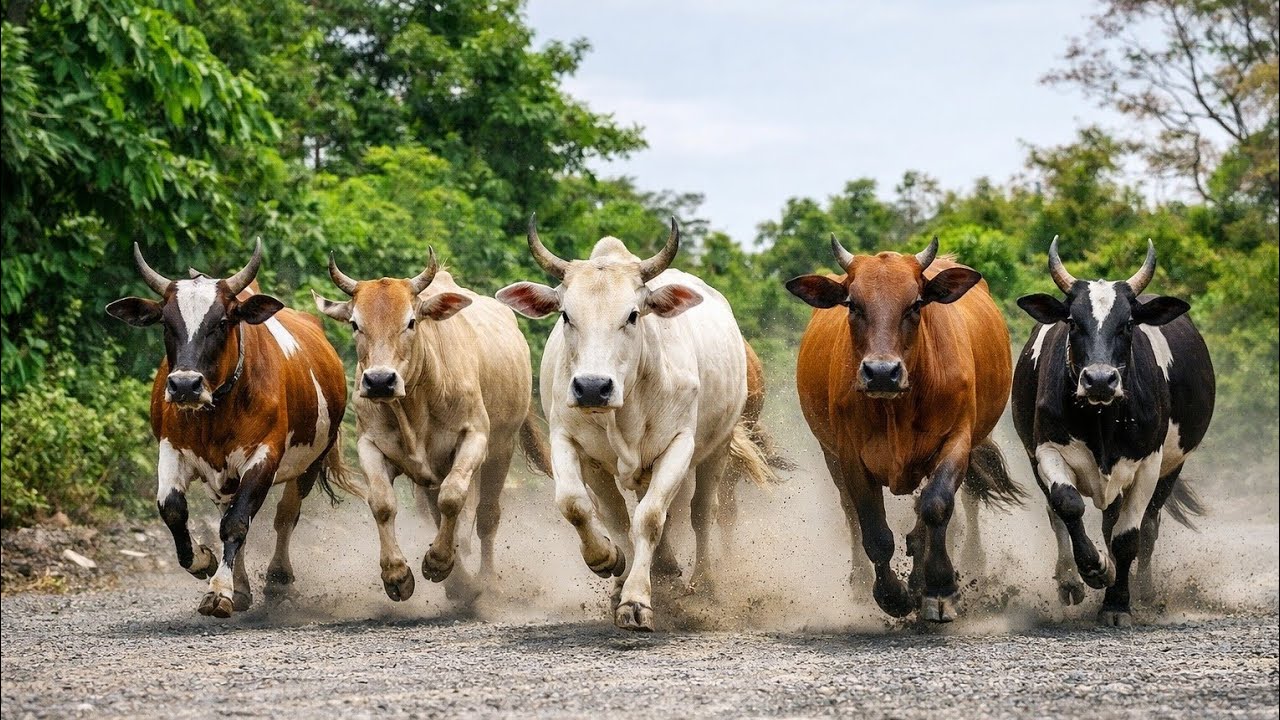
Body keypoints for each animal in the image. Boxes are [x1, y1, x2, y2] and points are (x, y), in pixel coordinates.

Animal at [105, 240, 352, 618]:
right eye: (166, 322)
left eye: (222, 322)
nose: (185, 385)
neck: (216, 412)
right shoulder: (172, 449)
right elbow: (173, 509)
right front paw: (204, 562)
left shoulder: (264, 456)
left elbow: (237, 522)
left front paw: (220, 590)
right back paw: (243, 586)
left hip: (309, 463)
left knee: (285, 516)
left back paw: (278, 579)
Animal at [313, 251, 549, 604]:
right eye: (355, 324)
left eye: (411, 322)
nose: (379, 381)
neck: (414, 406)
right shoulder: (372, 446)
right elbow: (382, 503)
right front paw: (397, 574)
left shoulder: (475, 439)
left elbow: (453, 498)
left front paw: (438, 562)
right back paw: (459, 582)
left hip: (502, 450)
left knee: (487, 516)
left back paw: (487, 581)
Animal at [496, 218, 772, 631]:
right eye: (566, 315)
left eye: (632, 315)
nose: (592, 387)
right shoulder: (571, 443)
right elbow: (585, 507)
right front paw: (609, 563)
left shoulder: (679, 446)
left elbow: (652, 519)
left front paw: (637, 600)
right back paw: (661, 568)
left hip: (717, 448)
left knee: (702, 513)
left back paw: (702, 585)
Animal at [786, 235, 1024, 622]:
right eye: (852, 304)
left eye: (915, 304)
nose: (882, 372)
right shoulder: (850, 456)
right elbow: (874, 531)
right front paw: (892, 595)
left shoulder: (956, 441)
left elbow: (935, 507)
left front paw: (938, 589)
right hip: (830, 455)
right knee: (850, 513)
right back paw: (862, 582)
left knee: (961, 503)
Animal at [1012, 238, 1213, 626]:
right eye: (1073, 322)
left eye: (1128, 323)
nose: (1100, 380)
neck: (1102, 421)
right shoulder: (1047, 451)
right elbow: (1068, 505)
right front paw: (1095, 569)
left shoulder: (1148, 464)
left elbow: (1128, 536)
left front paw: (1117, 603)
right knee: (1060, 514)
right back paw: (1071, 581)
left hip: (1172, 467)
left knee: (1148, 527)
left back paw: (1146, 592)